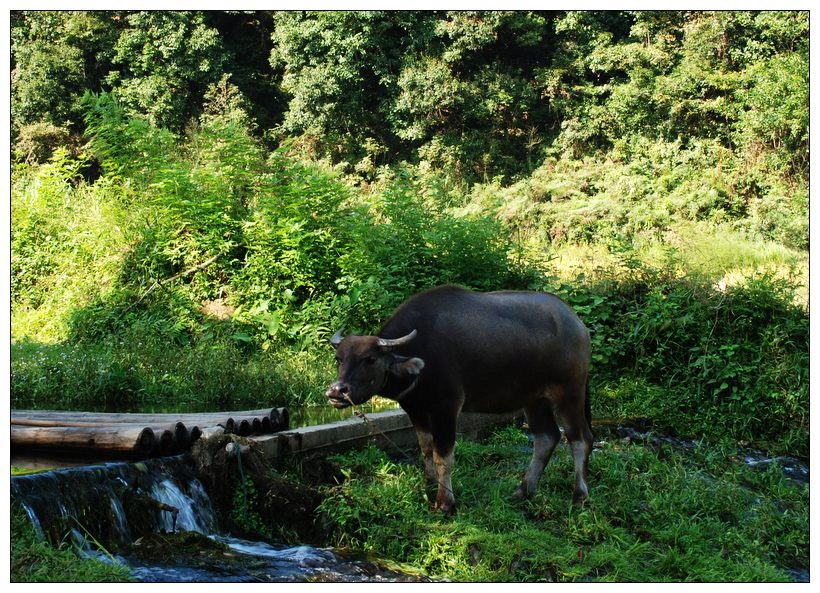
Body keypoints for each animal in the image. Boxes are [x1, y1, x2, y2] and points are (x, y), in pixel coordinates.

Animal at [324, 284, 592, 512]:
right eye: (339, 359)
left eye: (369, 359)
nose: (336, 391)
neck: (420, 355)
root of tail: (577, 324)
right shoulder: (415, 409)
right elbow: (426, 449)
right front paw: (429, 486)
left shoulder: (447, 407)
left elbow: (443, 456)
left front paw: (445, 502)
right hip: (534, 400)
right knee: (546, 438)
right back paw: (523, 491)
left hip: (569, 393)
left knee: (580, 439)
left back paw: (579, 495)